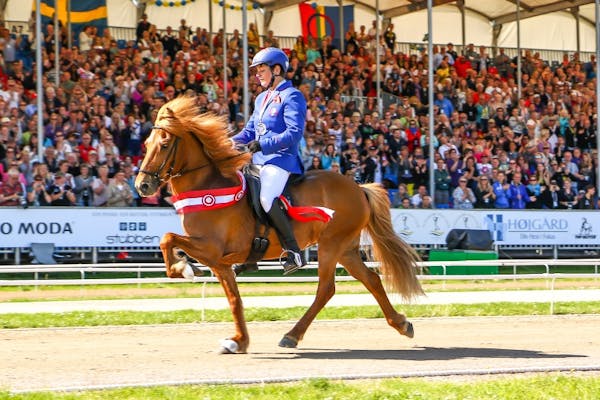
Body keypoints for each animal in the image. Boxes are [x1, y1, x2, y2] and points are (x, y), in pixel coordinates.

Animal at [134, 96, 424, 354]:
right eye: (146, 143)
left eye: (164, 143)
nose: (142, 186)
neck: (209, 186)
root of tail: (359, 188)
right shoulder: (220, 262)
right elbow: (234, 299)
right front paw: (239, 341)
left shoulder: (211, 249)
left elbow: (167, 237)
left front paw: (184, 268)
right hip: (346, 249)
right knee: (371, 280)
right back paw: (402, 324)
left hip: (332, 245)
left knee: (326, 289)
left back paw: (292, 335)